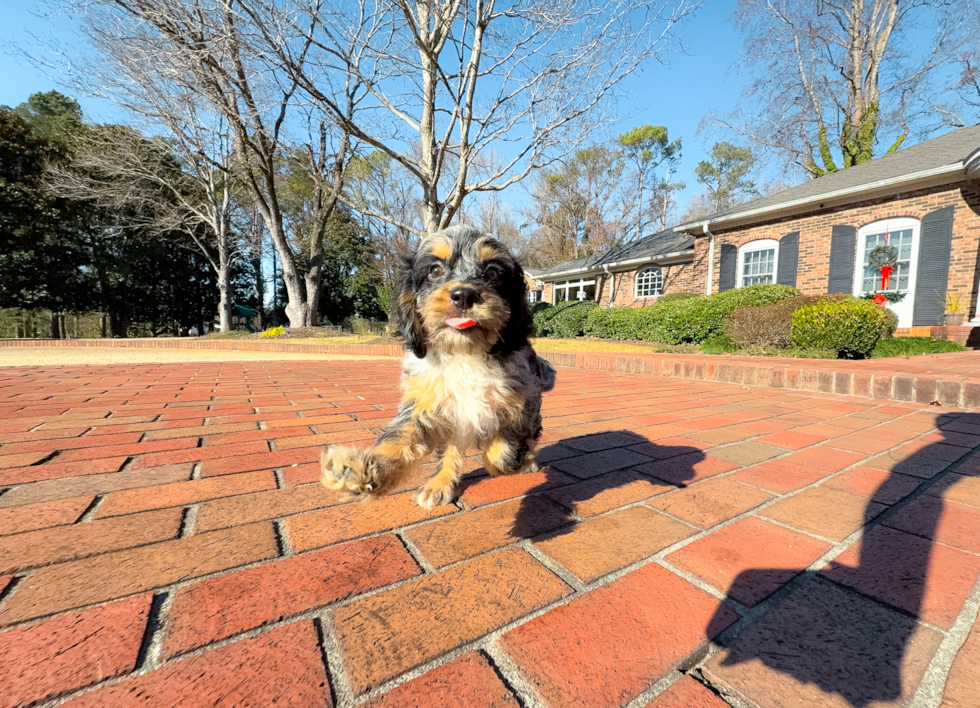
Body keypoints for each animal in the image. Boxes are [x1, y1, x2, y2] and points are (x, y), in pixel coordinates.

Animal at [320, 224, 552, 506]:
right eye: (435, 271)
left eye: (493, 273)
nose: (464, 295)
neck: (464, 354)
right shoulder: (425, 404)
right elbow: (400, 440)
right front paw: (360, 469)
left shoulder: (522, 404)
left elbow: (502, 453)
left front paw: (515, 459)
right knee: (451, 449)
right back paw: (439, 484)